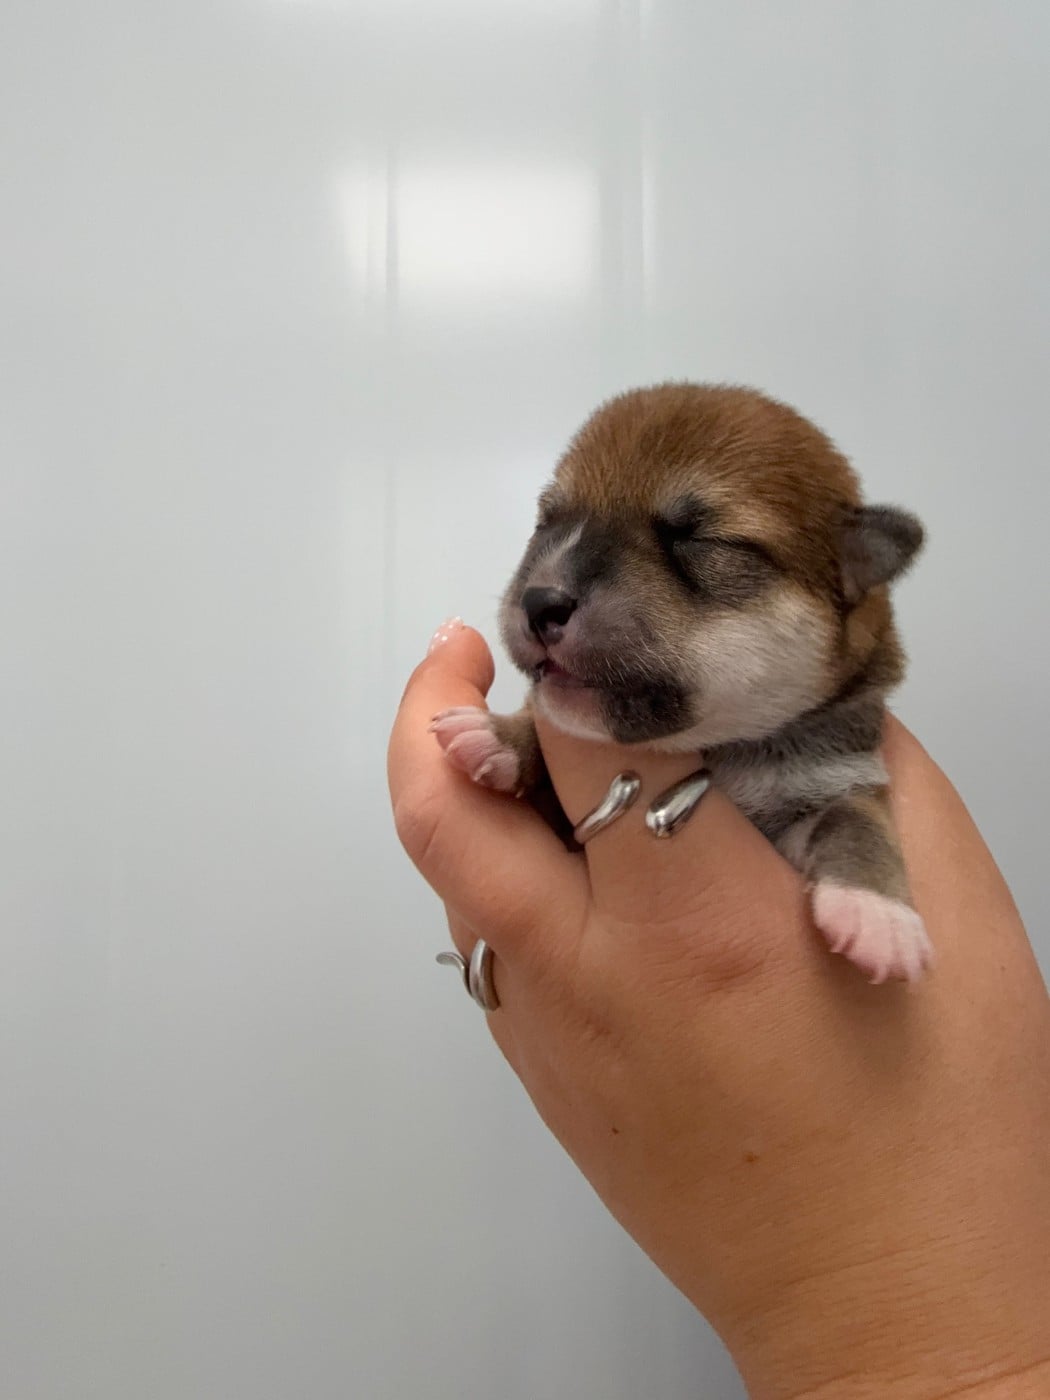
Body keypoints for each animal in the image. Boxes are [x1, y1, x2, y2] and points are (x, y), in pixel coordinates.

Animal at [431, 383, 931, 983]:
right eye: (548, 522)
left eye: (696, 538)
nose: (539, 601)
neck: (720, 748)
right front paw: (499, 736)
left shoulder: (839, 775)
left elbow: (859, 822)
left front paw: (880, 915)